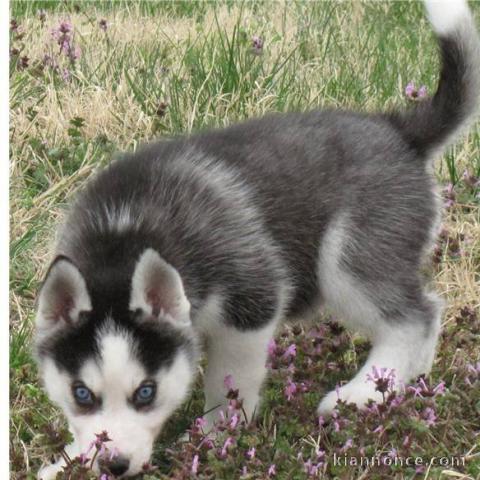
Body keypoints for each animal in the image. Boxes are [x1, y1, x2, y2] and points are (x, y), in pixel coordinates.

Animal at [34, 1, 480, 478]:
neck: (123, 233)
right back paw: (406, 383)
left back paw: (362, 393)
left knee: (414, 317)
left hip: (347, 261)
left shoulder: (252, 304)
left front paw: (215, 438)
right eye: (82, 394)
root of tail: (398, 131)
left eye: (146, 393)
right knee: (429, 311)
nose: (114, 464)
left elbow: (229, 380)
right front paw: (69, 461)